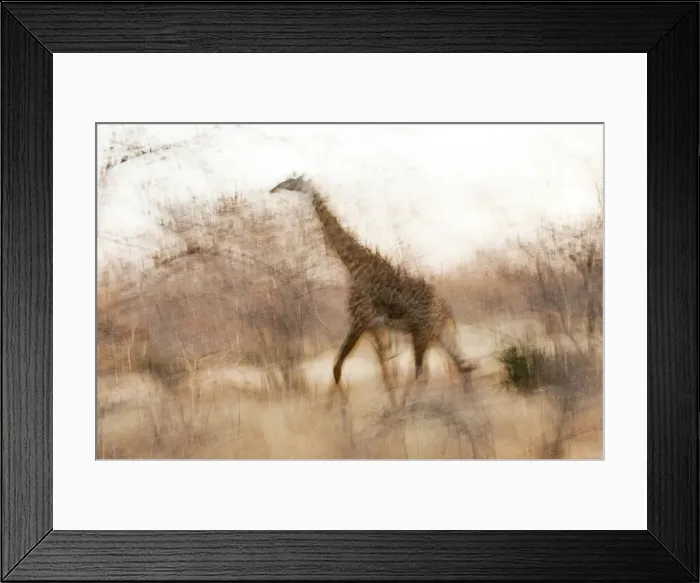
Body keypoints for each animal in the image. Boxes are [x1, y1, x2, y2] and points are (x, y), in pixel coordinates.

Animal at [269, 175, 476, 406]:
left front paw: (339, 410)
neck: (355, 267)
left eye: (290, 181)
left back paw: (413, 405)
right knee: (461, 365)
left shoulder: (360, 319)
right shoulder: (373, 326)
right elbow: (376, 370)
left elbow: (337, 367)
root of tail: (447, 308)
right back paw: (465, 404)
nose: (273, 189)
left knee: (427, 372)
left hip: (423, 333)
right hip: (437, 333)